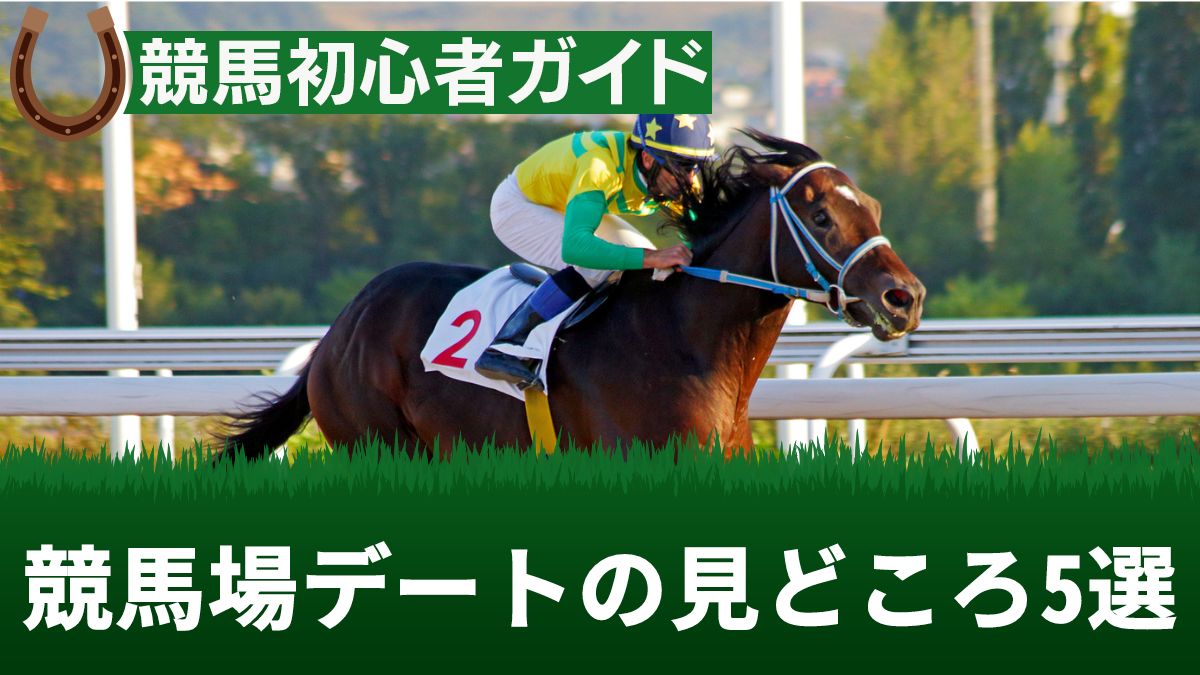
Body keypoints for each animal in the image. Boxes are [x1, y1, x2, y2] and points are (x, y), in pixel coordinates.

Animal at [219, 130, 925, 458]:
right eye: (822, 216)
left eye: (874, 207)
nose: (906, 298)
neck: (685, 348)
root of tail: (343, 325)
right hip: (378, 442)